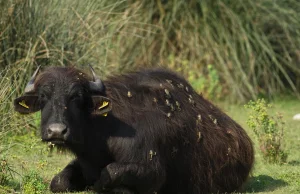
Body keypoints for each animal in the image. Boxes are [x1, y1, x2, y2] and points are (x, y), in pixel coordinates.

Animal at [14, 66, 253, 193]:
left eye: (77, 97)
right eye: (43, 97)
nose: (57, 131)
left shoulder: (152, 171)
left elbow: (110, 173)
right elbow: (59, 181)